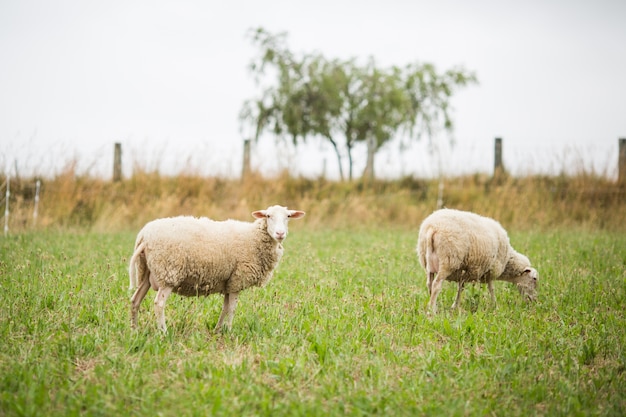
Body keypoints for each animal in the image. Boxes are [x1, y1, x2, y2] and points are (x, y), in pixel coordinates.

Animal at [128, 204, 304, 332]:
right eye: (268, 216)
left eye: (288, 216)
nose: (280, 233)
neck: (254, 237)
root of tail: (144, 236)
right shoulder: (238, 279)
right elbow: (232, 309)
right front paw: (230, 331)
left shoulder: (229, 281)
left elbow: (225, 308)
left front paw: (218, 330)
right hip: (168, 273)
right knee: (159, 304)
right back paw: (163, 332)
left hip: (146, 272)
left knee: (135, 300)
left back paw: (134, 330)